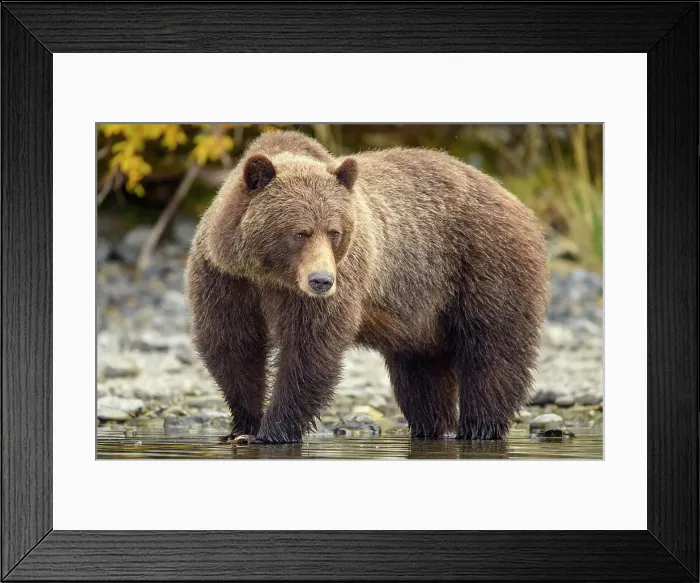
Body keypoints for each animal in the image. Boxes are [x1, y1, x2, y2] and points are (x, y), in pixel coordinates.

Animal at [185, 130, 549, 444]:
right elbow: (233, 344)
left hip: (484, 264)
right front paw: (243, 426)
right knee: (420, 372)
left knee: (492, 349)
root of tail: (515, 200)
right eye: (300, 232)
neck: (270, 276)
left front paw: (273, 431)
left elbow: (309, 349)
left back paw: (479, 427)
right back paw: (430, 426)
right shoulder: (226, 278)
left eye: (334, 232)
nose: (321, 281)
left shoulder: (336, 281)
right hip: (421, 310)